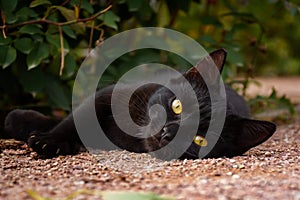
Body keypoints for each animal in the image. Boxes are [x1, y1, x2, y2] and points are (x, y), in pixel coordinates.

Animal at [4, 49, 276, 159]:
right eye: (177, 106)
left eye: (200, 139)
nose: (167, 133)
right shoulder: (106, 95)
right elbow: (75, 120)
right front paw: (48, 140)